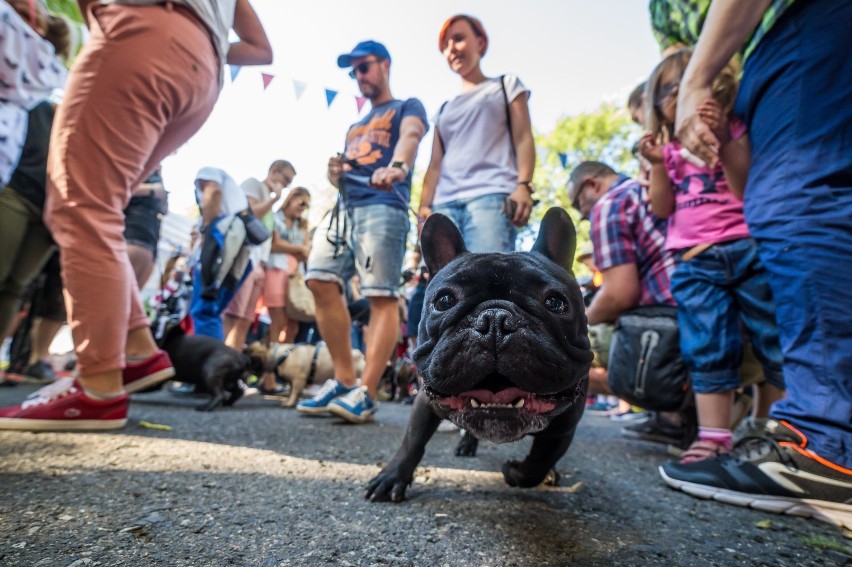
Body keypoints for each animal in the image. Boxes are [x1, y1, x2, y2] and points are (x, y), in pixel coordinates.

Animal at [366, 207, 592, 502]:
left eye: (555, 302)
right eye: (444, 301)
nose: (495, 319)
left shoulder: (564, 427)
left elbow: (539, 463)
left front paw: (516, 472)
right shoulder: (426, 403)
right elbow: (412, 440)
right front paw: (392, 476)